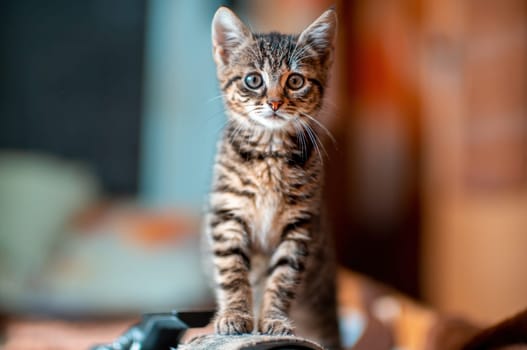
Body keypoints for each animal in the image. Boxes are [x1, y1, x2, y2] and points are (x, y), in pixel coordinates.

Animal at [204, 5, 340, 350]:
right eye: (253, 80)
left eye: (295, 81)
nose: (275, 102)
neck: (270, 152)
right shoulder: (227, 214)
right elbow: (232, 270)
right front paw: (235, 316)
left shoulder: (300, 225)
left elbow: (283, 277)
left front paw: (275, 321)